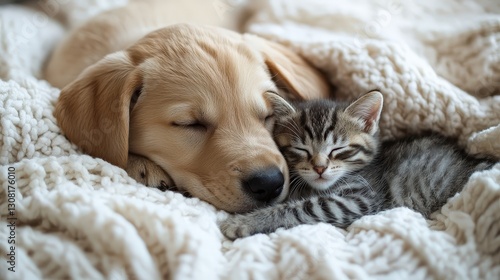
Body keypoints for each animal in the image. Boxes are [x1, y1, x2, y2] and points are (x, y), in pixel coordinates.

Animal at [220, 91, 496, 240]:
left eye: (338, 150)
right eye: (301, 150)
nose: (319, 168)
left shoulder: (359, 199)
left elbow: (301, 208)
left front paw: (243, 222)